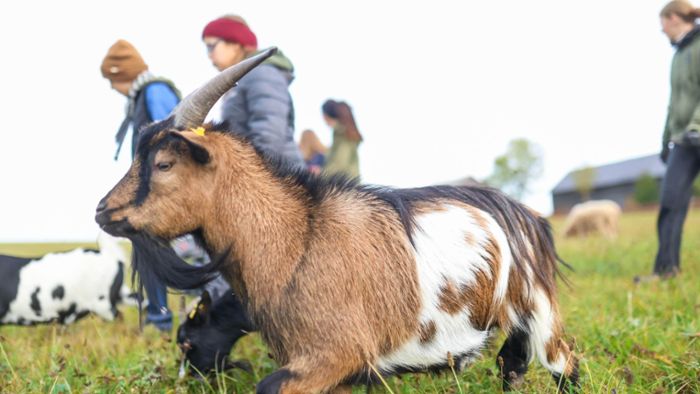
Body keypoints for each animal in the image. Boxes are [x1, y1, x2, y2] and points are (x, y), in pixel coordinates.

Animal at [98, 50, 580, 394]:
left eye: (163, 163)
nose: (103, 211)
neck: (296, 241)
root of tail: (525, 215)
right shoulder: (337, 373)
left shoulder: (337, 353)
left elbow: (268, 386)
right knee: (512, 364)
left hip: (536, 309)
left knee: (563, 361)